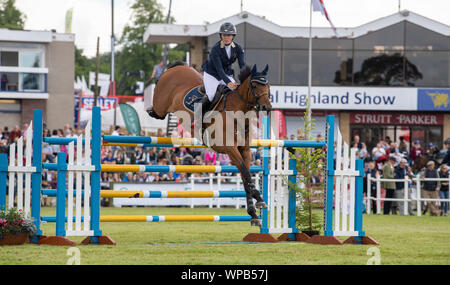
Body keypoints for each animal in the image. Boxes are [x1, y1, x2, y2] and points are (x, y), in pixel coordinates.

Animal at [148, 61, 272, 225]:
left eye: (268, 85)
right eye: (255, 85)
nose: (267, 108)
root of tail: (176, 67)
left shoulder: (244, 151)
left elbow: (246, 179)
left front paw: (253, 213)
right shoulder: (230, 150)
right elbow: (246, 173)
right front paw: (259, 199)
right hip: (161, 105)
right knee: (157, 112)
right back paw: (150, 109)